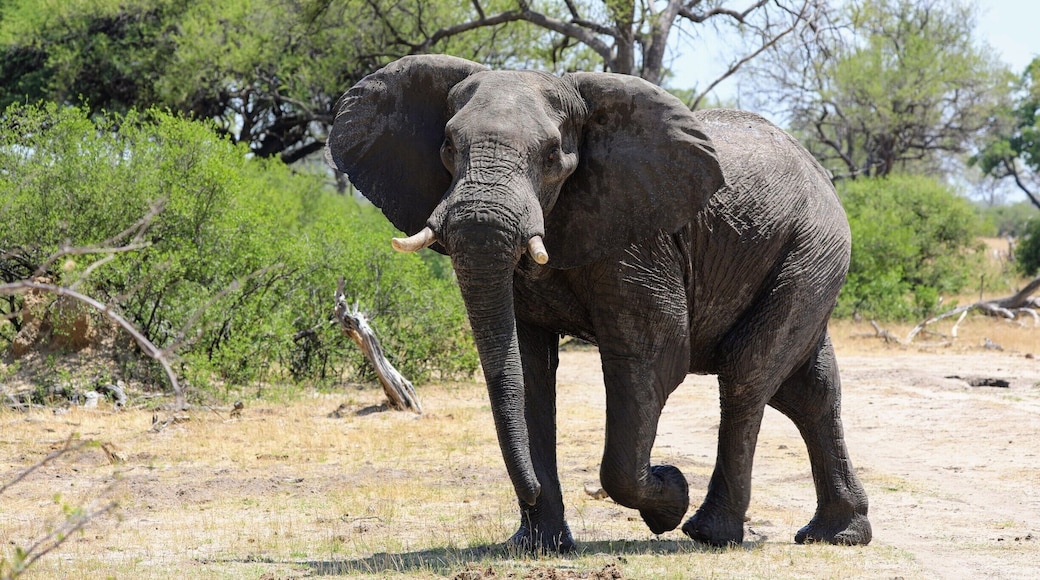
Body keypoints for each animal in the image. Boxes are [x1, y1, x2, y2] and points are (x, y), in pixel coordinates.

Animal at [324, 54, 872, 553]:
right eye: (447, 147)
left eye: (551, 156)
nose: (530, 497)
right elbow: (528, 370)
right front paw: (539, 547)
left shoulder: (640, 239)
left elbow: (652, 358)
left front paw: (669, 494)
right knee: (807, 388)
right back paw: (837, 535)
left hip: (812, 248)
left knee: (748, 374)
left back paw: (709, 533)